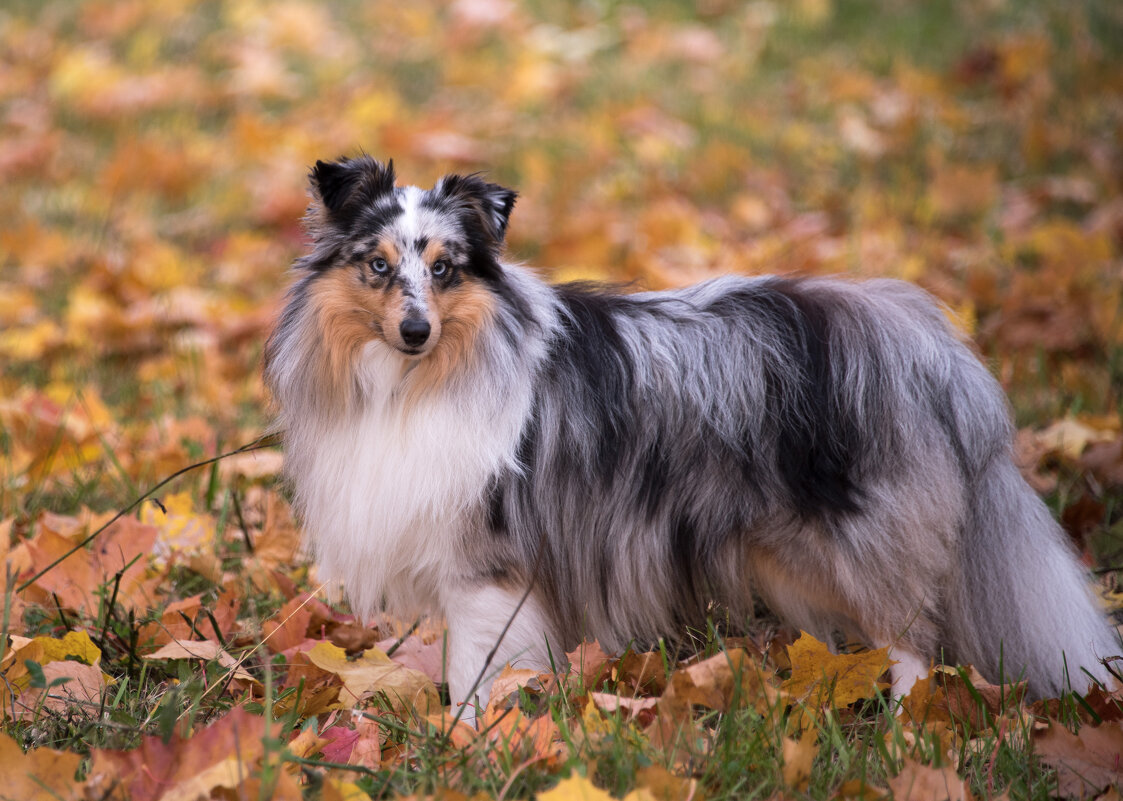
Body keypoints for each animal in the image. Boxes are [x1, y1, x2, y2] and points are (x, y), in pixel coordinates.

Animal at [262, 155, 1114, 705]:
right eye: (376, 265)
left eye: (444, 267)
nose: (414, 331)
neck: (413, 379)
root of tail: (921, 342)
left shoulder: (485, 563)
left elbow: (479, 672)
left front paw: (470, 742)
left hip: (863, 535)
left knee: (911, 637)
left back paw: (907, 728)